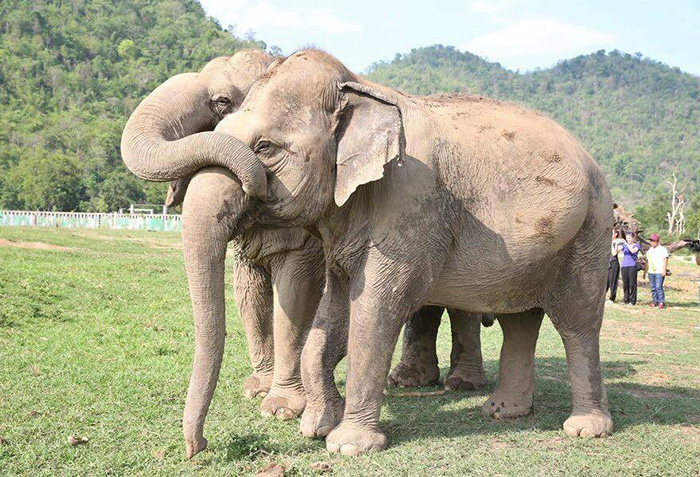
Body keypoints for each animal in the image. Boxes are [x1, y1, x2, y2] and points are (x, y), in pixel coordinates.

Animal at [121, 49, 488, 458]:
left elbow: (296, 292)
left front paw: (281, 408)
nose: (197, 447)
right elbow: (248, 291)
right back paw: (409, 381)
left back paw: (462, 384)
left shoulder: (313, 231)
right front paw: (257, 390)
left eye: (222, 101)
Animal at [205, 49, 614, 455]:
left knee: (577, 322)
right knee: (519, 321)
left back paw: (584, 429)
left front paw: (348, 446)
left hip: (590, 232)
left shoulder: (408, 203)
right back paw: (501, 411)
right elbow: (334, 311)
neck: (359, 86)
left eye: (265, 147)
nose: (202, 445)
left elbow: (375, 310)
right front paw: (317, 426)